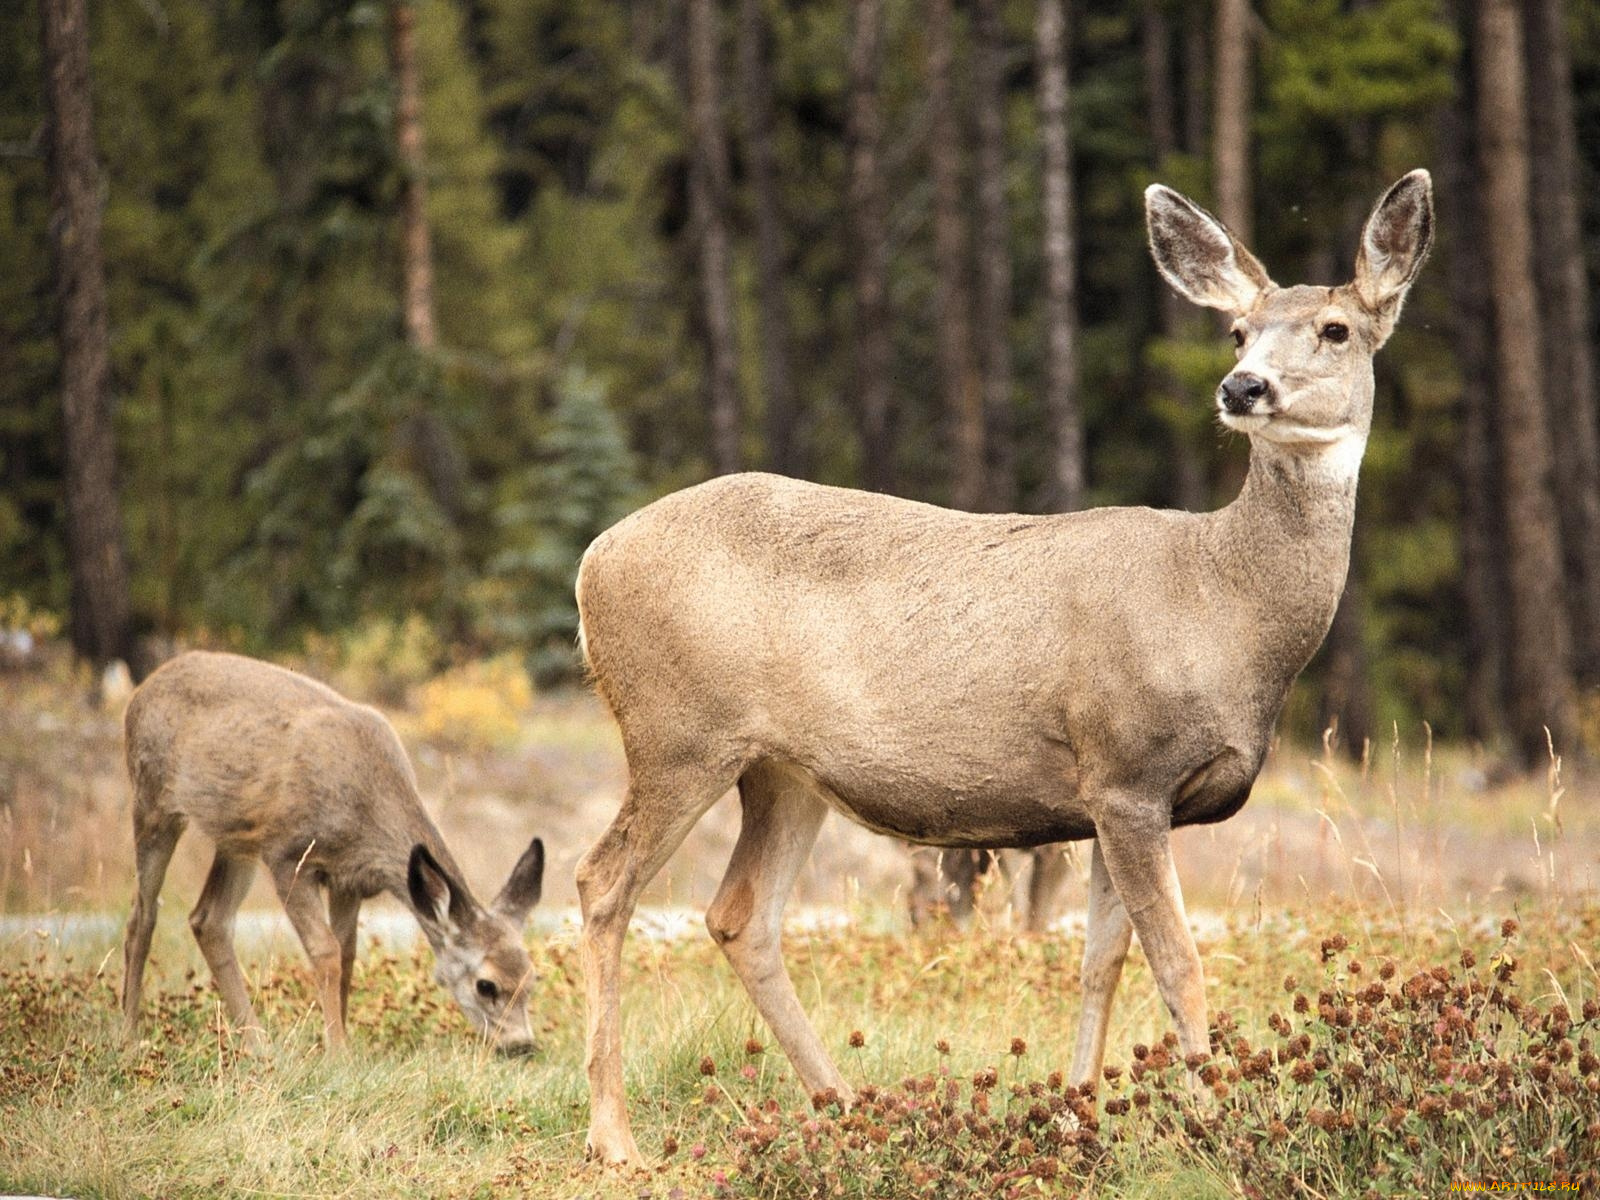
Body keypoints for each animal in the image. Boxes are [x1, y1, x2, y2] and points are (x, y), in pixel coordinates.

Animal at [121, 652, 547, 1056]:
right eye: (486, 985)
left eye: (531, 978)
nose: (521, 1045)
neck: (364, 809)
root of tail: (141, 691)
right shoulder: (288, 855)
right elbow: (325, 951)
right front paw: (338, 1052)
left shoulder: (350, 879)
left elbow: (347, 954)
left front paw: (340, 1038)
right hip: (152, 799)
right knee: (143, 914)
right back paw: (128, 1035)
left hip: (237, 837)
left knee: (208, 920)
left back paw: (258, 1044)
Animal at [576, 171, 1440, 1164]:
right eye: (1237, 330)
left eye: (1336, 329)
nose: (1243, 385)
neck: (1221, 607)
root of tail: (591, 563)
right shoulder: (1127, 767)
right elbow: (1178, 960)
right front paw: (1217, 1125)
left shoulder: (1117, 795)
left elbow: (1102, 960)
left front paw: (1075, 1118)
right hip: (679, 733)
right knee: (604, 885)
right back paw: (615, 1137)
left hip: (783, 771)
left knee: (740, 914)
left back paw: (851, 1108)